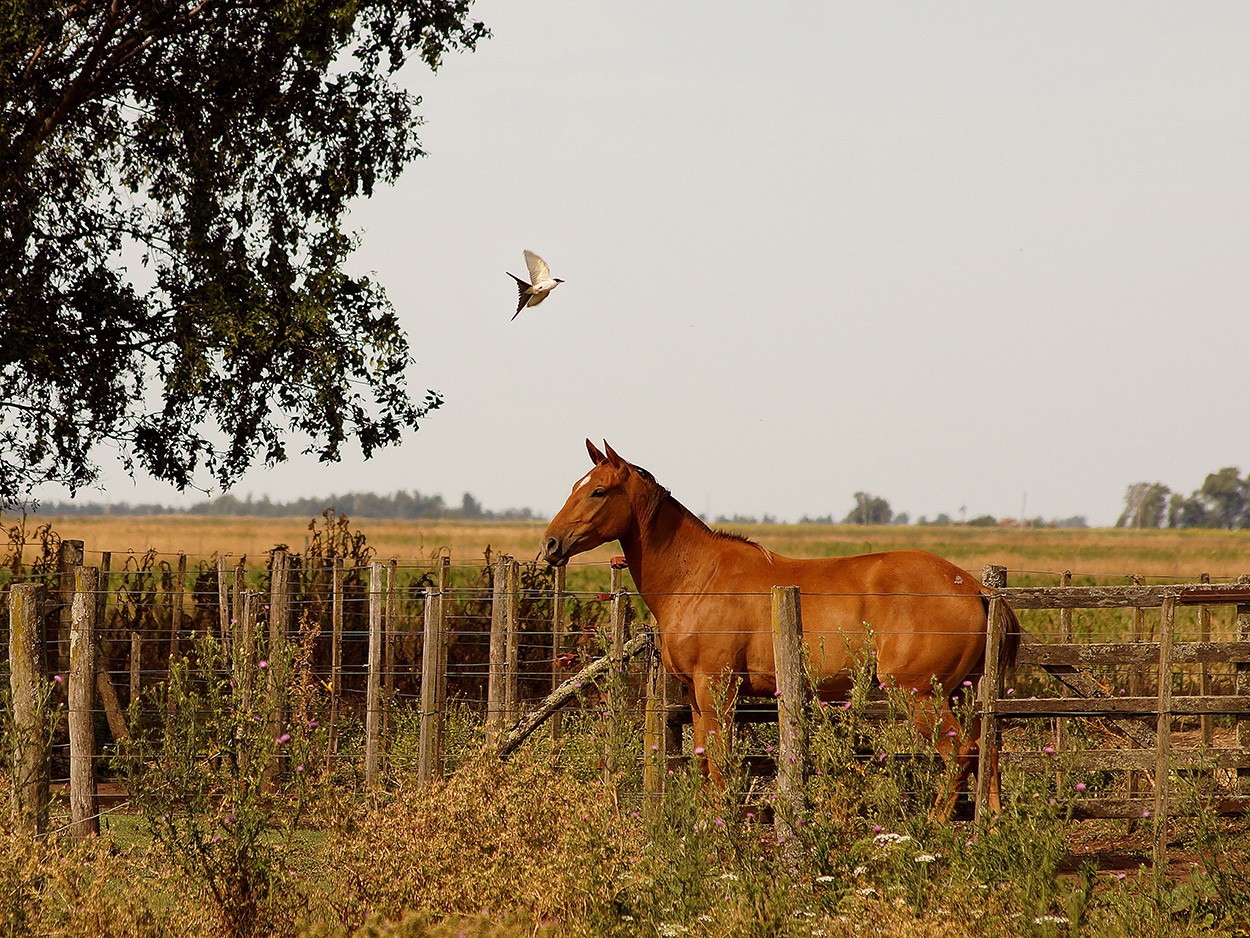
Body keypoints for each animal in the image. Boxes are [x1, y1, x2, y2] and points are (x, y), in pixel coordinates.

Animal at [542, 440, 1020, 815]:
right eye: (575, 486)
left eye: (598, 491)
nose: (550, 544)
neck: (698, 578)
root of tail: (972, 586)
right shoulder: (696, 697)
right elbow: (704, 762)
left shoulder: (717, 689)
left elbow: (720, 765)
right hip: (959, 694)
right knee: (988, 752)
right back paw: (989, 827)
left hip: (918, 695)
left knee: (961, 753)